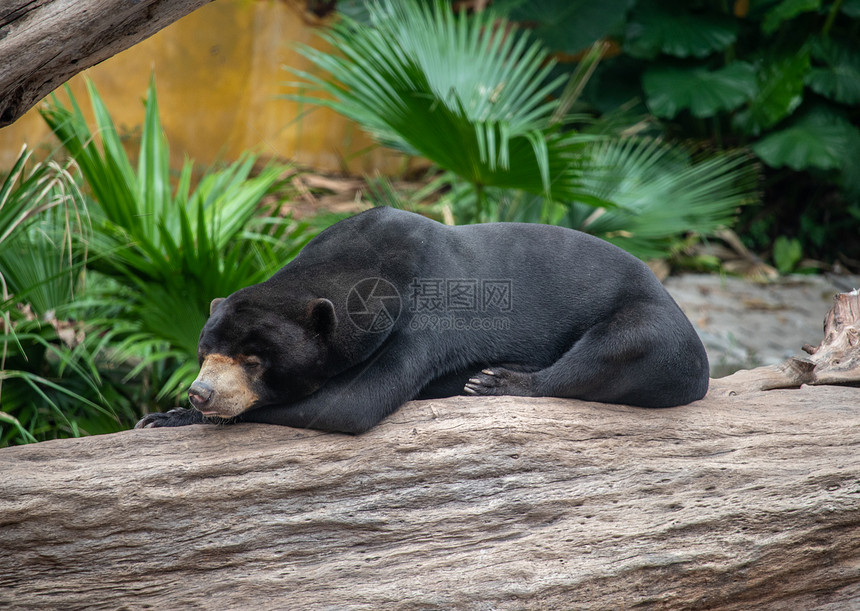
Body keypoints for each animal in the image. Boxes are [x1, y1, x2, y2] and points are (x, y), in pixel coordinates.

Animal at [138, 209, 708, 436]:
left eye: (254, 361)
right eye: (204, 353)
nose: (200, 393)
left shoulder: (424, 320)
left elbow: (350, 404)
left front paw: (169, 419)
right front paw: (162, 416)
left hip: (655, 327)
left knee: (613, 351)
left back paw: (493, 382)